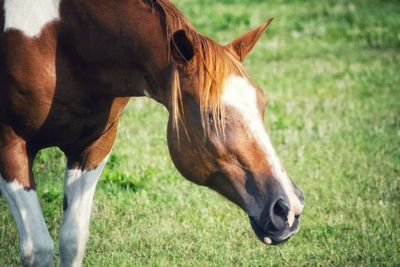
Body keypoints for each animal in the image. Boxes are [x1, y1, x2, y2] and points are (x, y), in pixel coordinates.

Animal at [0, 0, 304, 266]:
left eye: (262, 104)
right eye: (211, 115)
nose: (288, 208)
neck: (62, 40)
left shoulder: (94, 147)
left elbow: (72, 241)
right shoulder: (9, 147)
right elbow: (38, 249)